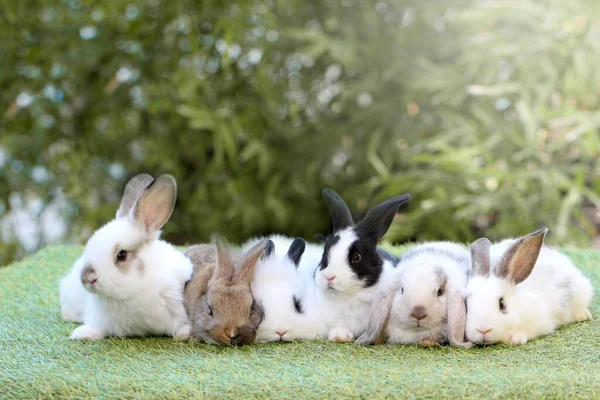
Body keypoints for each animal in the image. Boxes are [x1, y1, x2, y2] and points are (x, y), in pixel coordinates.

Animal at [58, 173, 192, 340]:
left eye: (121, 255)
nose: (88, 277)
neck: (135, 291)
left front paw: (184, 335)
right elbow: (96, 327)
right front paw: (83, 334)